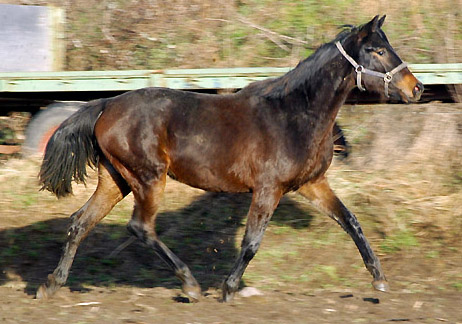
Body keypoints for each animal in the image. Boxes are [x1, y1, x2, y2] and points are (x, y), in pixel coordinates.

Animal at [38, 15, 424, 302]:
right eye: (377, 50)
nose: (416, 88)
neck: (294, 114)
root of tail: (106, 105)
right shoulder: (269, 189)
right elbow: (252, 242)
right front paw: (226, 289)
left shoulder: (312, 184)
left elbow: (350, 221)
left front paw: (379, 278)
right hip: (148, 178)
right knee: (140, 227)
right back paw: (190, 284)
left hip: (116, 179)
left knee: (80, 222)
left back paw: (51, 284)